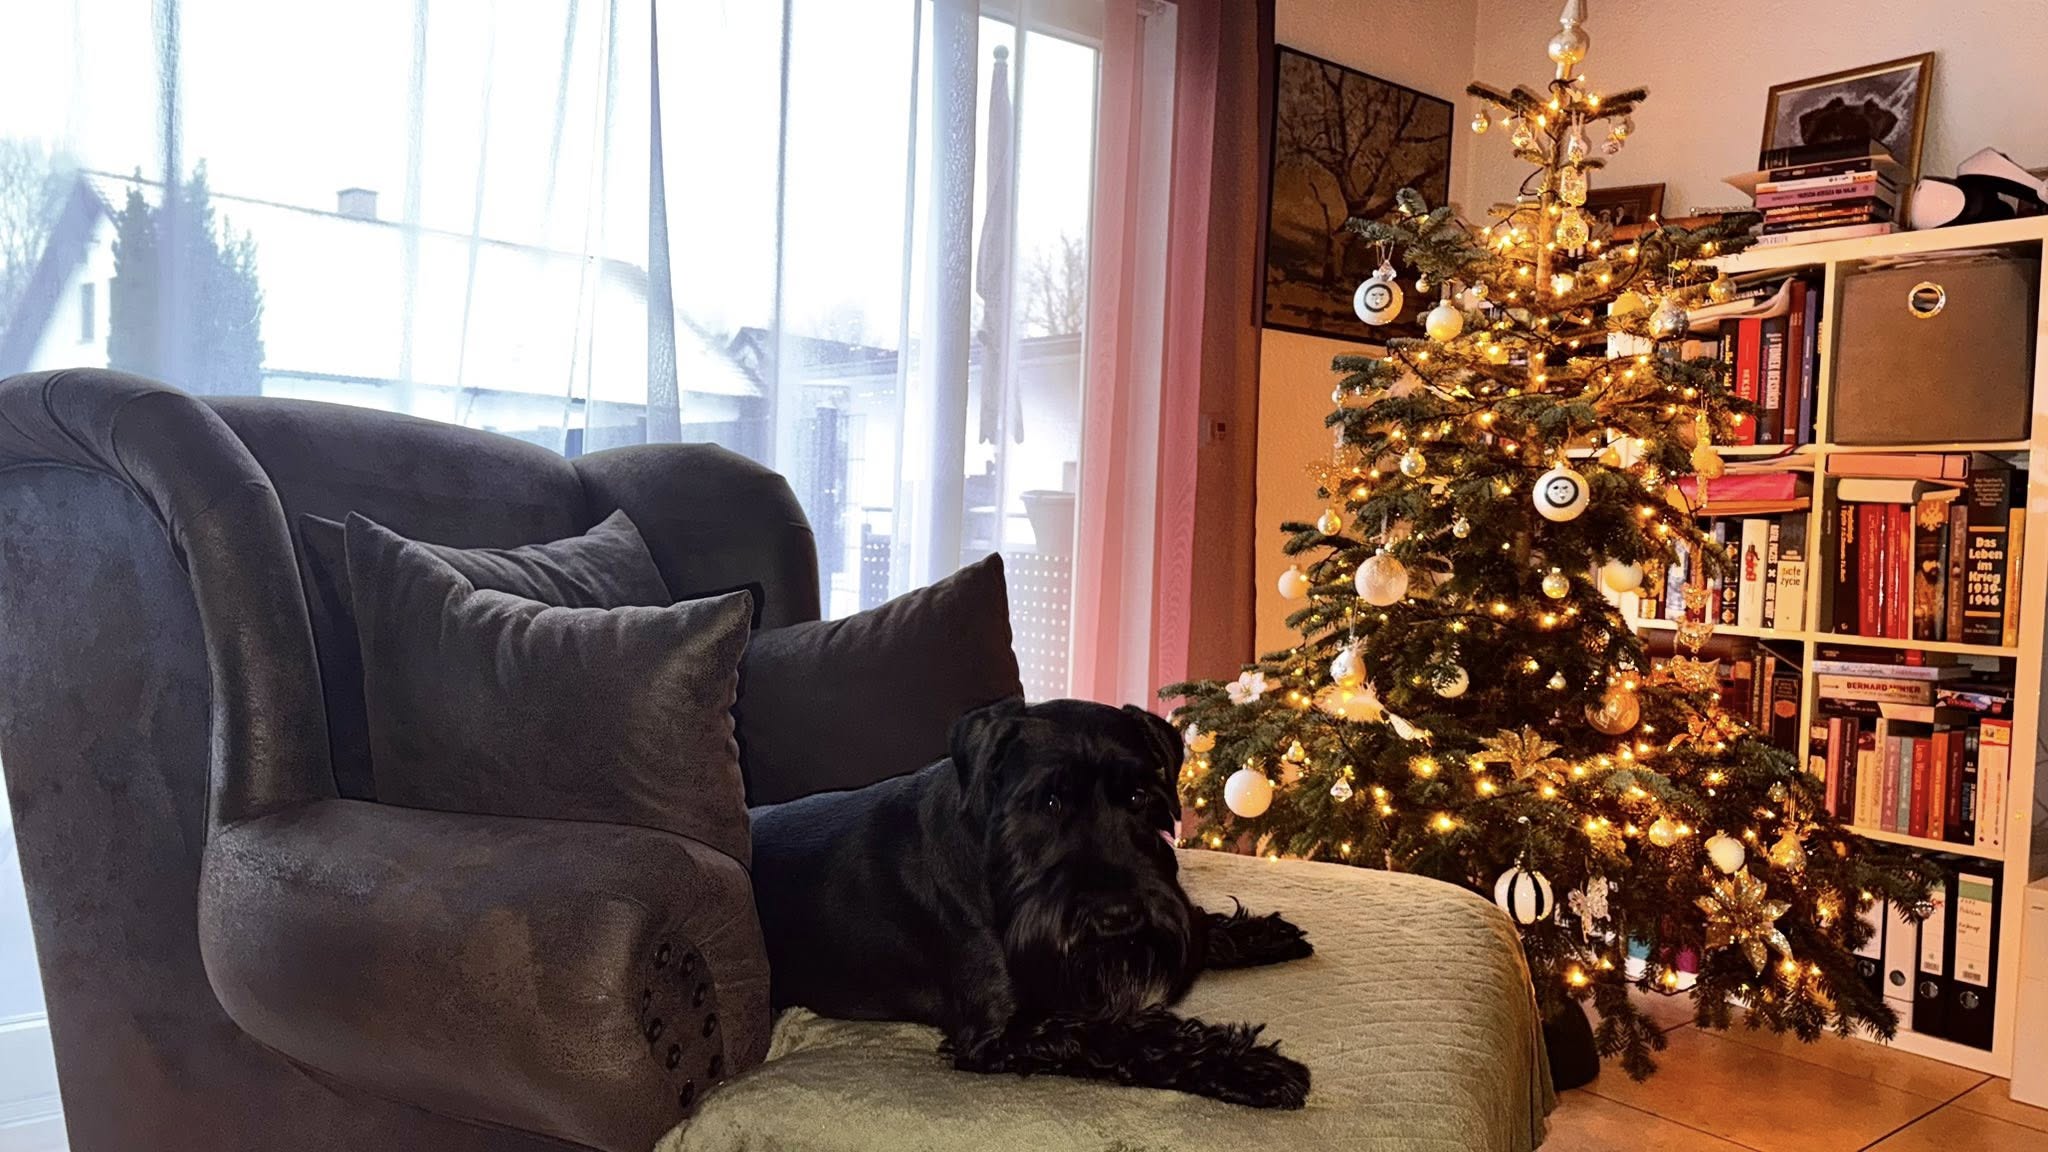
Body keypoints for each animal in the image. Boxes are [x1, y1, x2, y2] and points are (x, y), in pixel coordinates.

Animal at [749, 697, 1316, 1108]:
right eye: (1049, 801)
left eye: (1138, 798)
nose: (1119, 916)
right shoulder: (1005, 1028)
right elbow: (1126, 1034)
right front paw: (1255, 1067)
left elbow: (1196, 928)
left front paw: (1261, 934)